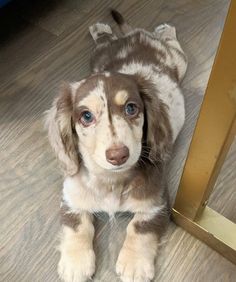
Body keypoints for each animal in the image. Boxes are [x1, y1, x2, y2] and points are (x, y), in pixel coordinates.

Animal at [45, 9, 187, 282]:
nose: (118, 155)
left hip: (179, 63)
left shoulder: (157, 203)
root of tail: (134, 36)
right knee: (104, 39)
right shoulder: (70, 198)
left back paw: (165, 30)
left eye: (131, 108)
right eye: (86, 116)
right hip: (99, 54)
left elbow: (139, 227)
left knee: (173, 46)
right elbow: (77, 225)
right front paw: (75, 262)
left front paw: (134, 264)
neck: (110, 180)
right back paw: (100, 28)